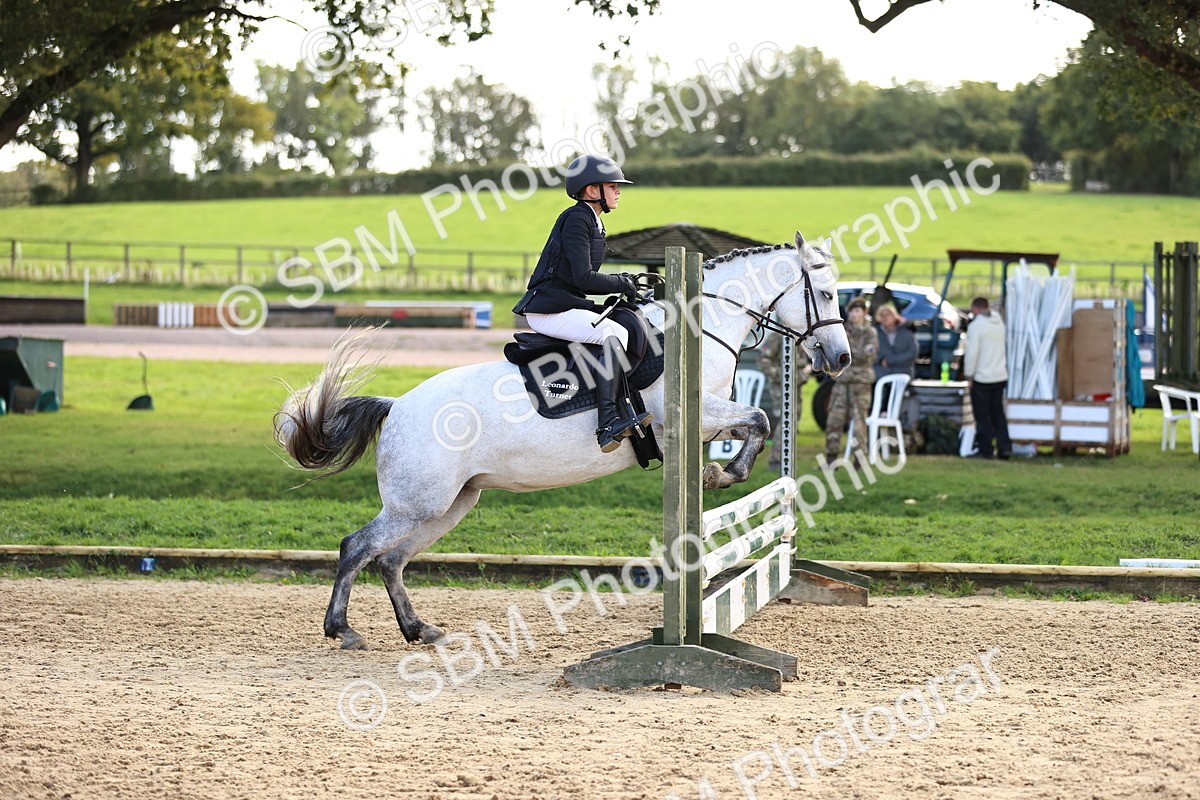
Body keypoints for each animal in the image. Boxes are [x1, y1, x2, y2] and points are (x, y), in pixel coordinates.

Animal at [275, 232, 851, 650]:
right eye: (824, 294)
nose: (840, 358)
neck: (698, 326)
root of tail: (397, 407)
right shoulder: (689, 419)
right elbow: (761, 417)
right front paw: (722, 473)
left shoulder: (711, 421)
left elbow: (757, 423)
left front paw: (723, 471)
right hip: (418, 502)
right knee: (358, 548)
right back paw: (342, 630)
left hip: (450, 504)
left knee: (391, 560)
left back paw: (419, 630)